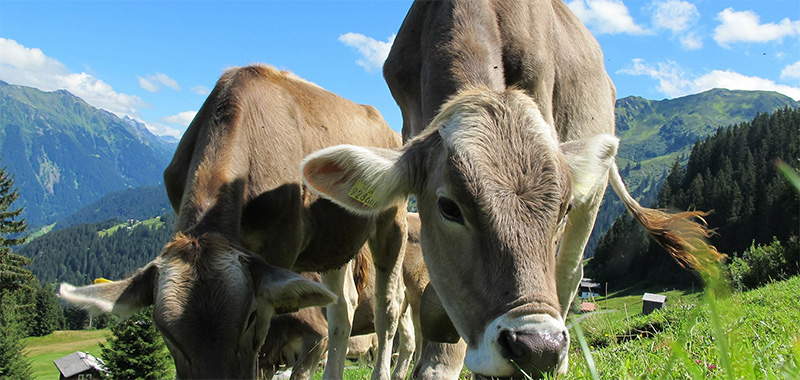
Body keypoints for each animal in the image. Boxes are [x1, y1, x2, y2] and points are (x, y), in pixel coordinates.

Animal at [58, 63, 406, 378]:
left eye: (249, 316)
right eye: (165, 331)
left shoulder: (280, 249)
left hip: (392, 220)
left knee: (387, 308)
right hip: (333, 243)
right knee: (342, 309)